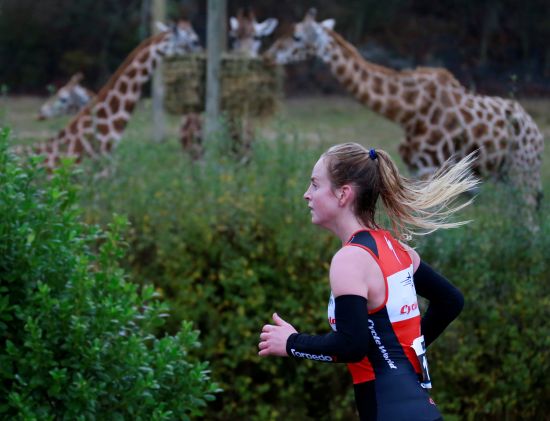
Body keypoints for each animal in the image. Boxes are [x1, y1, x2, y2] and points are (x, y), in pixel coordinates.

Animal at [266, 9, 544, 208]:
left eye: (297, 36)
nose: (269, 55)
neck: (407, 109)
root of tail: (536, 132)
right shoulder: (417, 168)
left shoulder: (430, 167)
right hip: (506, 176)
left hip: (524, 173)